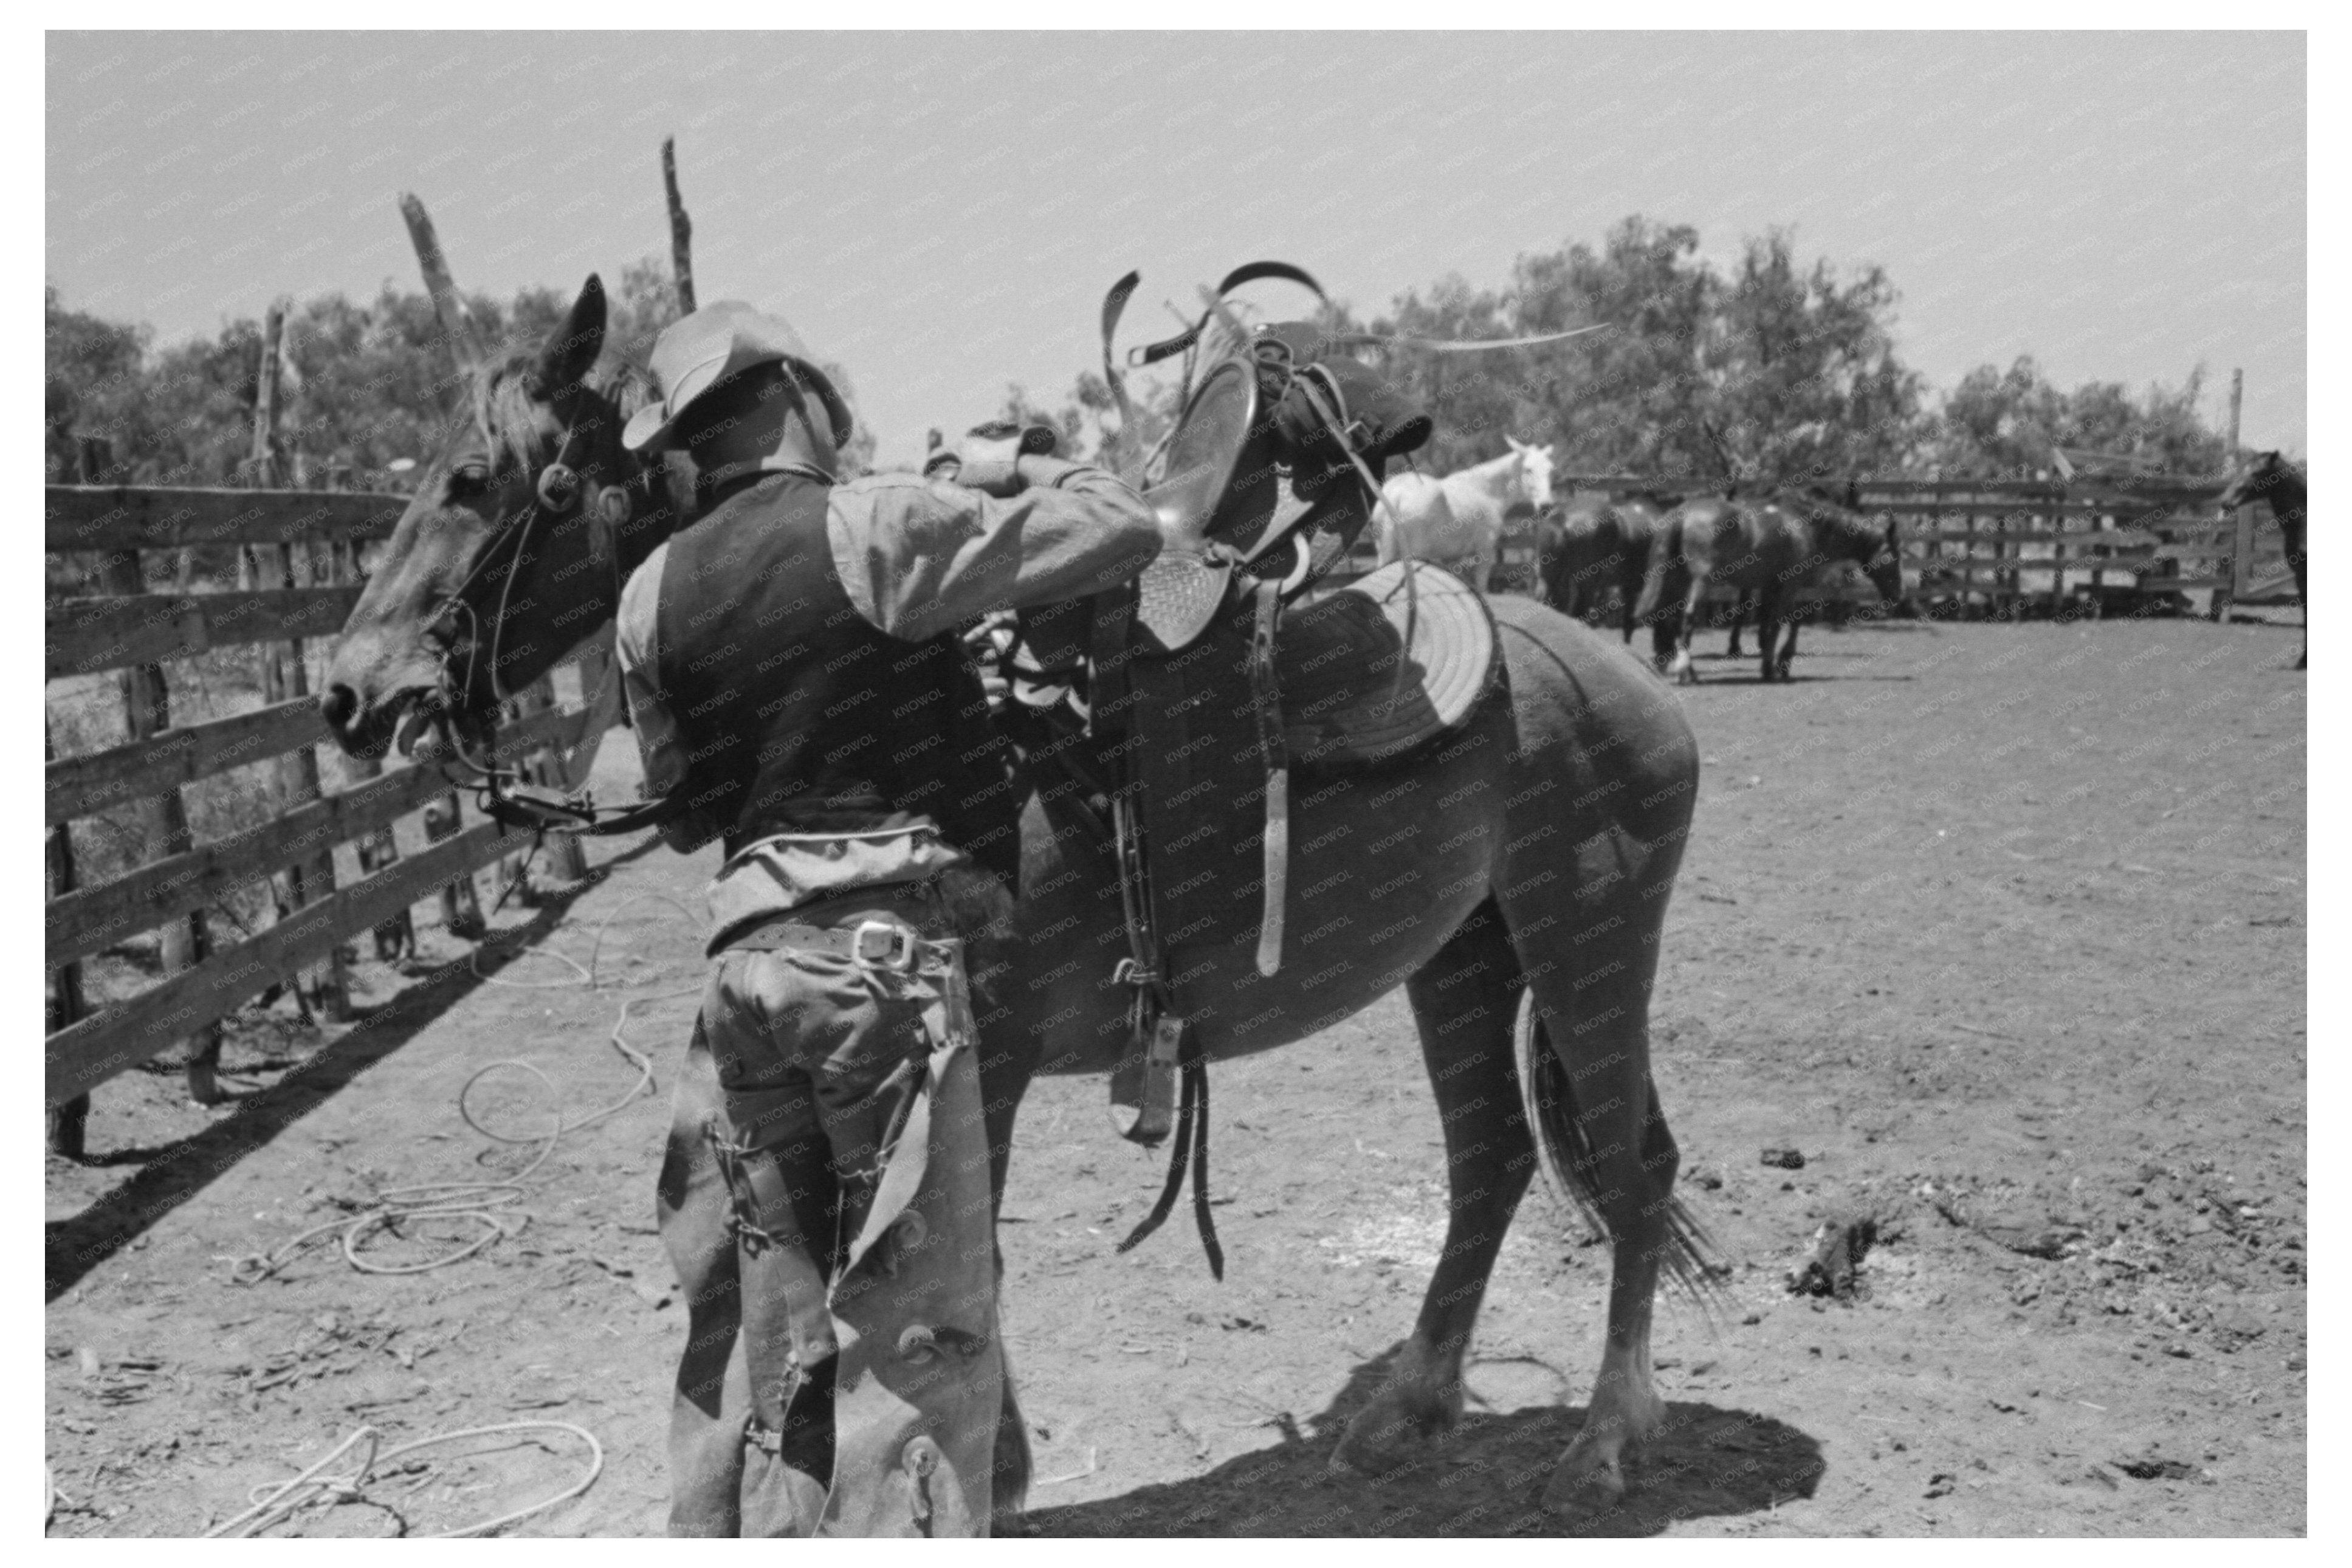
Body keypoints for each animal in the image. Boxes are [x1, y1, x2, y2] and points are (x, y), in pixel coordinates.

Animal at [1374, 435, 1561, 588]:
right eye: (1528, 469)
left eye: (1551, 469)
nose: (1546, 506)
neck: (1486, 492)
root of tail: (1396, 495)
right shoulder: (1485, 550)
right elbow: (1481, 587)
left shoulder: (1453, 556)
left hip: (1385, 552)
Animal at [1637, 486, 1910, 681]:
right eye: (1895, 556)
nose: (1898, 595)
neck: (1804, 523)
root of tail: (1683, 513)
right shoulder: (1790, 586)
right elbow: (1784, 623)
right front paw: (1778, 666)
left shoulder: (1770, 587)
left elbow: (1768, 625)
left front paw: (1769, 665)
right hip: (1701, 583)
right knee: (1687, 619)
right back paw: (1687, 672)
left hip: (1675, 582)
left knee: (1667, 619)